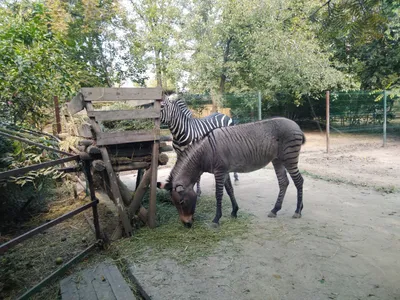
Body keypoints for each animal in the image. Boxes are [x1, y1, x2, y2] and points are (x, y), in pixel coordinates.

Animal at [158, 117, 304, 227]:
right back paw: (275, 210)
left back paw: (298, 211)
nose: (186, 225)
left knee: (299, 181)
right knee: (283, 182)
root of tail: (296, 125)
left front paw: (216, 219)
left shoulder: (219, 171)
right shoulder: (225, 171)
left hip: (289, 158)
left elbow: (219, 194)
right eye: (174, 203)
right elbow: (229, 190)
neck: (205, 153)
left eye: (181, 202)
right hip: (277, 159)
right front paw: (234, 211)